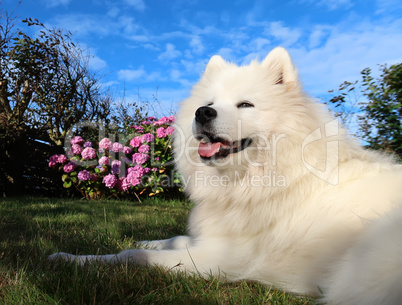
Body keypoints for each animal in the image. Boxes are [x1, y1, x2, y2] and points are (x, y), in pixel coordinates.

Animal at [51, 47, 402, 304]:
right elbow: (174, 239)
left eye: (245, 105)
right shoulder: (209, 239)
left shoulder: (221, 258)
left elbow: (131, 256)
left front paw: (71, 258)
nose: (202, 113)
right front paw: (149, 240)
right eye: (209, 103)